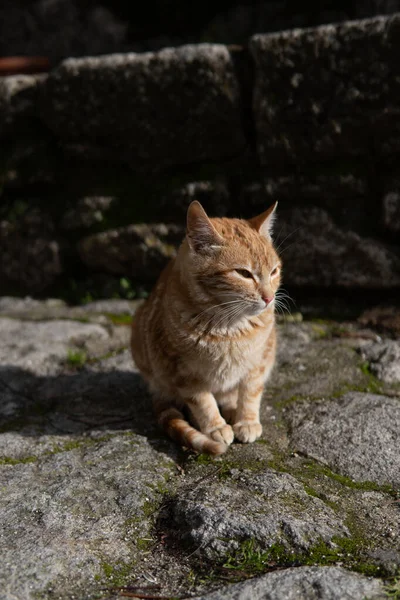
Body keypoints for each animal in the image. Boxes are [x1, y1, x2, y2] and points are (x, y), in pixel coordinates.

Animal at [131, 202, 282, 454]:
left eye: (274, 272)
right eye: (243, 273)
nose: (269, 298)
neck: (229, 326)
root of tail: (155, 388)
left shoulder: (259, 361)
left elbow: (250, 393)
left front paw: (247, 421)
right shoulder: (182, 371)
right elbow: (202, 402)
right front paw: (215, 427)